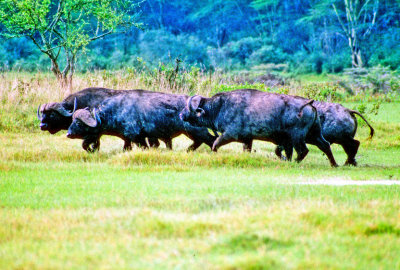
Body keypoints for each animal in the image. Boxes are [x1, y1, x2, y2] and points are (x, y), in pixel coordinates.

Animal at [66, 90, 217, 152]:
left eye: (78, 123)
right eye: (72, 121)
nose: (68, 134)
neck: (118, 109)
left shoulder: (137, 137)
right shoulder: (128, 138)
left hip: (196, 131)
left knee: (210, 140)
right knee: (198, 142)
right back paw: (188, 150)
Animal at [179, 88, 338, 167]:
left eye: (189, 108)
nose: (181, 114)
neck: (220, 106)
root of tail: (309, 104)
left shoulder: (229, 134)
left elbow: (215, 144)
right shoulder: (248, 140)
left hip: (298, 137)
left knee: (303, 151)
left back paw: (294, 163)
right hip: (314, 135)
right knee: (325, 145)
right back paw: (334, 164)